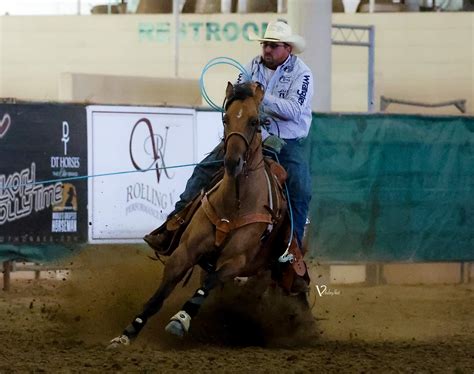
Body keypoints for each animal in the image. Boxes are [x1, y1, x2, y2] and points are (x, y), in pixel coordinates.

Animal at [108, 81, 308, 348]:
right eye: (225, 118)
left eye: (254, 121)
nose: (232, 162)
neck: (235, 202)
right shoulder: (185, 251)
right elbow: (159, 295)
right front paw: (126, 334)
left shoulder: (235, 261)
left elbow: (208, 283)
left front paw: (180, 319)